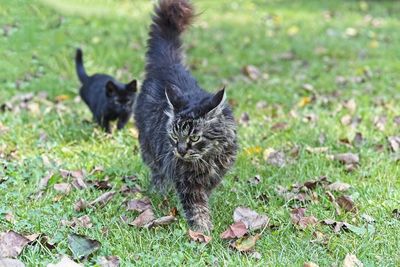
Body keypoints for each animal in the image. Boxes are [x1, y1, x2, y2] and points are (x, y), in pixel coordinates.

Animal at [135, 0, 238, 233]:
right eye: (175, 137)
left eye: (195, 137)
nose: (181, 151)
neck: (208, 157)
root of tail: (168, 64)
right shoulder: (187, 181)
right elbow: (196, 205)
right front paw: (202, 229)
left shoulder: (217, 172)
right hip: (150, 148)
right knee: (157, 173)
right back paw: (159, 192)